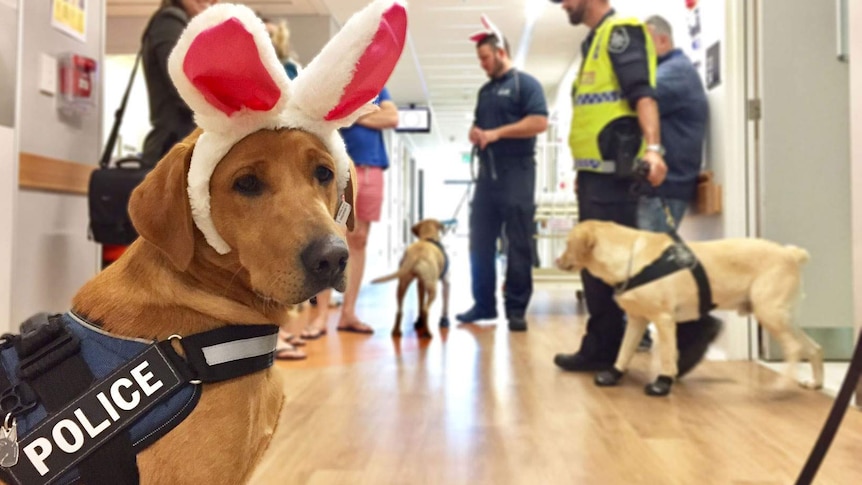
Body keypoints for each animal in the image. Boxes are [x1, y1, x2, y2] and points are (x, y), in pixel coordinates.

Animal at [556, 219, 828, 394]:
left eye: (567, 243)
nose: (557, 260)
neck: (633, 258)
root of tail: (791, 254)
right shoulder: (637, 320)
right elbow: (624, 350)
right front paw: (614, 373)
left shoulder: (664, 319)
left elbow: (667, 356)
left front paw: (663, 382)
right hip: (784, 317)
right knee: (814, 348)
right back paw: (815, 383)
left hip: (769, 314)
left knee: (794, 348)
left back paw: (780, 386)